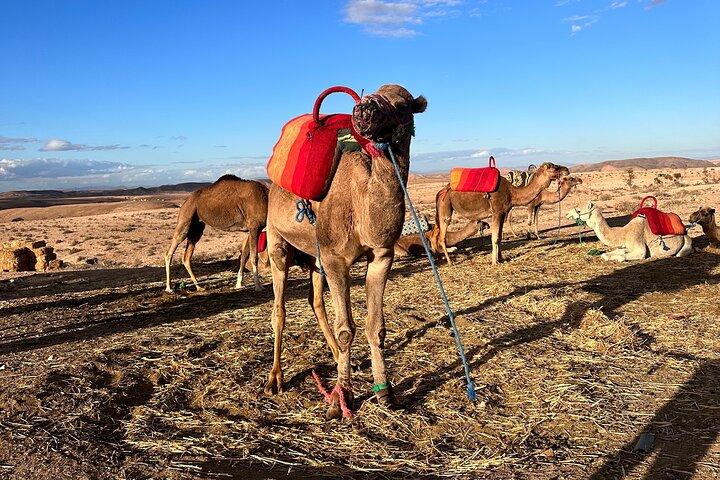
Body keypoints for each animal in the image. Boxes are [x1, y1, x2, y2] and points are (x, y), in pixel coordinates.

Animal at [264, 84, 427, 418]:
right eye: (373, 92)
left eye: (402, 105)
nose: (363, 110)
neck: (361, 202)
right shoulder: (335, 259)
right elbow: (346, 330)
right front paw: (343, 400)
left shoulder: (382, 255)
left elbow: (375, 327)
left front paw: (385, 393)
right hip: (277, 241)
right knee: (279, 309)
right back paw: (275, 380)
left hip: (314, 257)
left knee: (316, 302)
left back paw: (334, 356)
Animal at [431, 162, 570, 265]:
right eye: (554, 167)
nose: (567, 170)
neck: (512, 193)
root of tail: (440, 192)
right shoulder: (497, 212)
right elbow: (495, 238)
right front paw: (494, 262)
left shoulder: (503, 213)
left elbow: (500, 237)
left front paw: (502, 258)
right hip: (445, 207)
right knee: (442, 236)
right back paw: (450, 262)